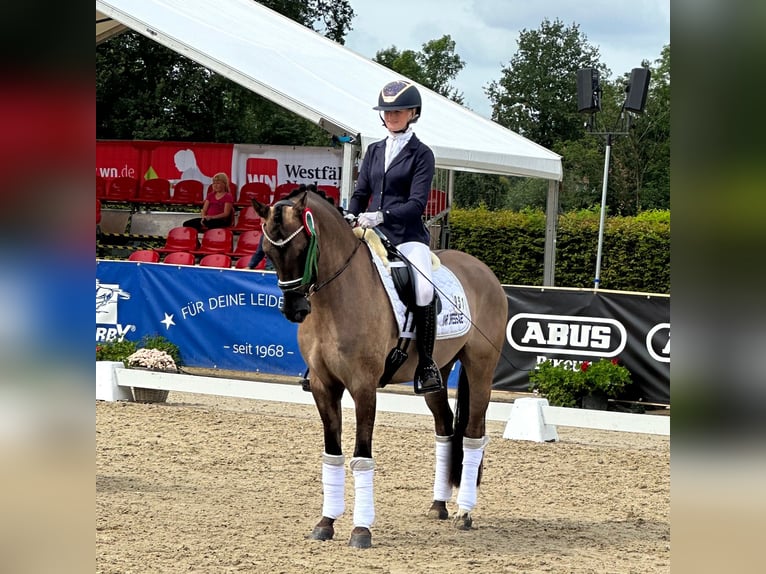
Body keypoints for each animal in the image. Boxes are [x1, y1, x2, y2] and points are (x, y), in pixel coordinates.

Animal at [254, 188, 510, 548]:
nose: (295, 310)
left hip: (481, 367)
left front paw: (361, 531)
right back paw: (439, 506)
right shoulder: (323, 385)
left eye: (303, 247)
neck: (336, 297)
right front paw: (325, 523)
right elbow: (332, 453)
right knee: (445, 428)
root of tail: (482, 269)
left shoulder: (363, 386)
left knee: (473, 434)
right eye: (267, 251)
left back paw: (465, 513)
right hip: (437, 372)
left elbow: (362, 456)